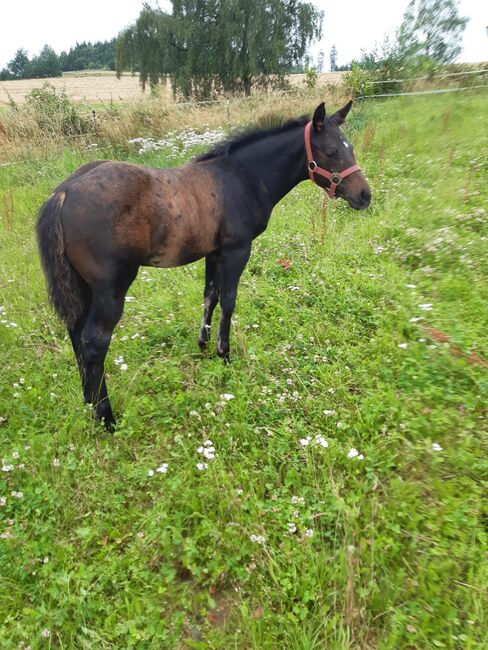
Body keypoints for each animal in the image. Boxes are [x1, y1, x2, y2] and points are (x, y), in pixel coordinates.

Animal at [37, 98, 370, 428]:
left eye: (350, 147)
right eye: (331, 152)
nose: (365, 196)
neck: (243, 177)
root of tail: (63, 193)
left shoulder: (214, 253)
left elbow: (211, 296)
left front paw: (204, 346)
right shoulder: (238, 250)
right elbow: (229, 300)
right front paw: (225, 354)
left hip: (82, 286)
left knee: (75, 333)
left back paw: (89, 403)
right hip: (111, 289)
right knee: (93, 342)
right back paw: (106, 417)